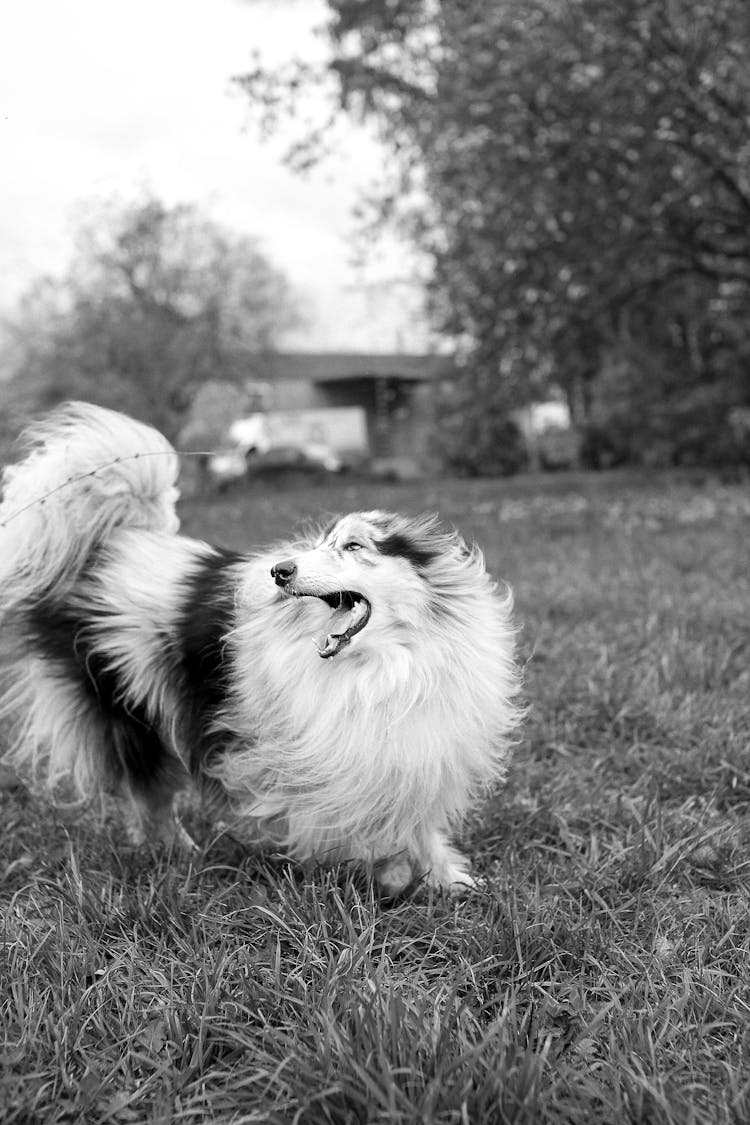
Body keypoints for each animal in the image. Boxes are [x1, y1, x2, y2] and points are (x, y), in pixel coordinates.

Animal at [0, 407, 521, 895]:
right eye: (320, 543)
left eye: (353, 546)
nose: (280, 571)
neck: (385, 662)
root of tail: (112, 543)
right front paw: (389, 876)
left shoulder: (412, 749)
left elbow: (417, 821)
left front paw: (448, 881)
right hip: (129, 708)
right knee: (149, 792)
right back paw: (175, 850)